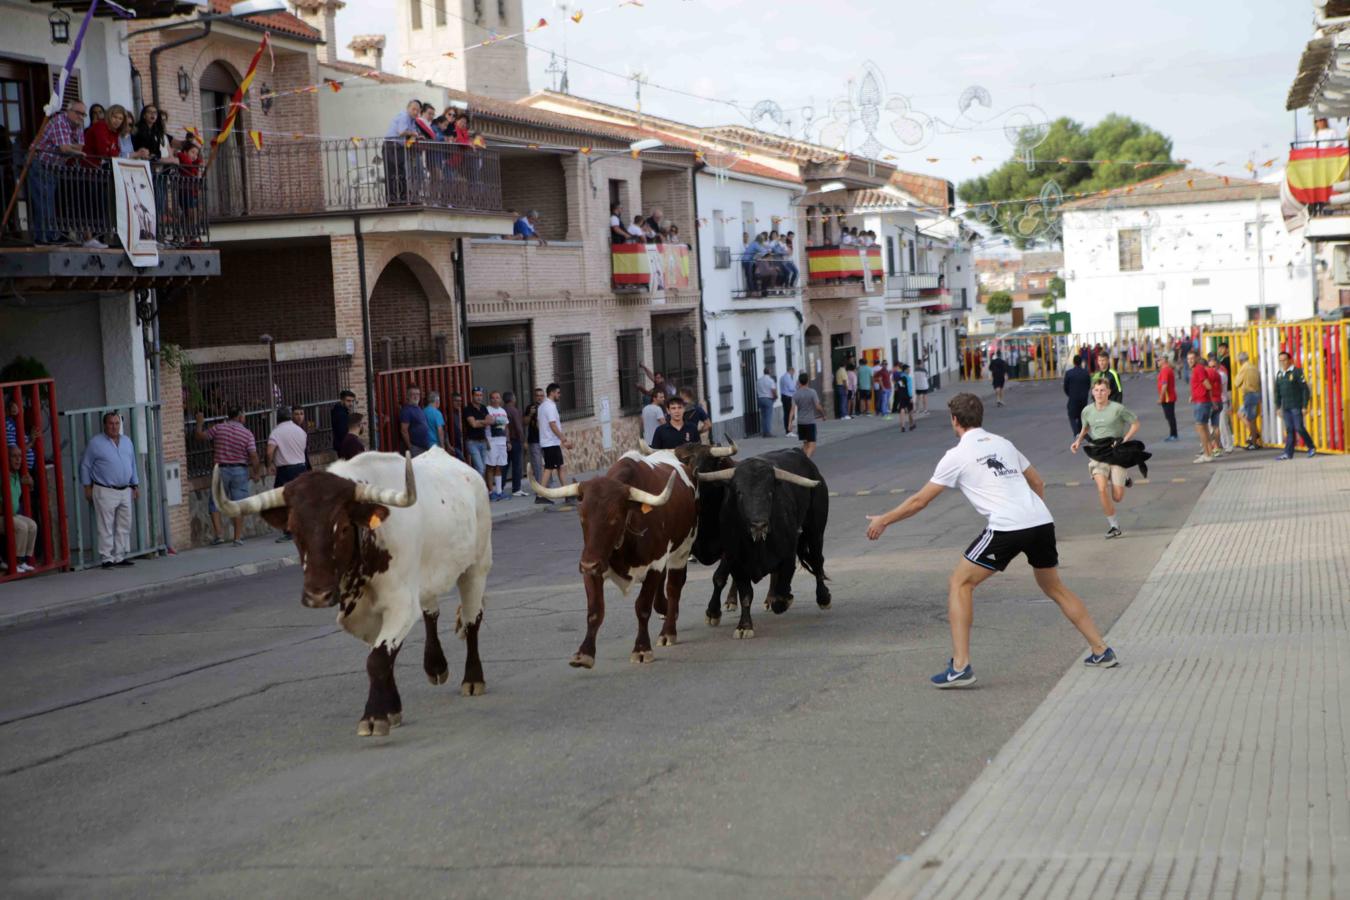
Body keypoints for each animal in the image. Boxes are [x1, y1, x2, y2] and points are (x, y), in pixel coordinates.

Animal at [207, 450, 488, 739]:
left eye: (342, 528)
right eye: (294, 530)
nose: (317, 595)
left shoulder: (401, 604)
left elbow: (377, 660)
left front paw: (374, 717)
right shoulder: (368, 613)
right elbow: (384, 657)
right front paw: (391, 710)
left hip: (476, 568)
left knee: (472, 620)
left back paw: (473, 679)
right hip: (427, 579)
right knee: (431, 612)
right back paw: (436, 666)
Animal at [526, 450, 696, 669]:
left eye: (614, 518)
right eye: (582, 517)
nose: (587, 564)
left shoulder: (655, 564)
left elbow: (642, 607)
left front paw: (642, 649)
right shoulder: (594, 564)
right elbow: (595, 610)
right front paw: (584, 653)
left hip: (682, 550)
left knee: (674, 588)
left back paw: (668, 632)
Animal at [691, 447, 826, 636]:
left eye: (770, 492)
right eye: (739, 493)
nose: (759, 524)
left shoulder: (788, 557)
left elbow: (781, 594)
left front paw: (784, 599)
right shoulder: (736, 562)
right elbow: (745, 594)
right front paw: (743, 626)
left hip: (815, 530)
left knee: (817, 560)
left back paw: (823, 598)